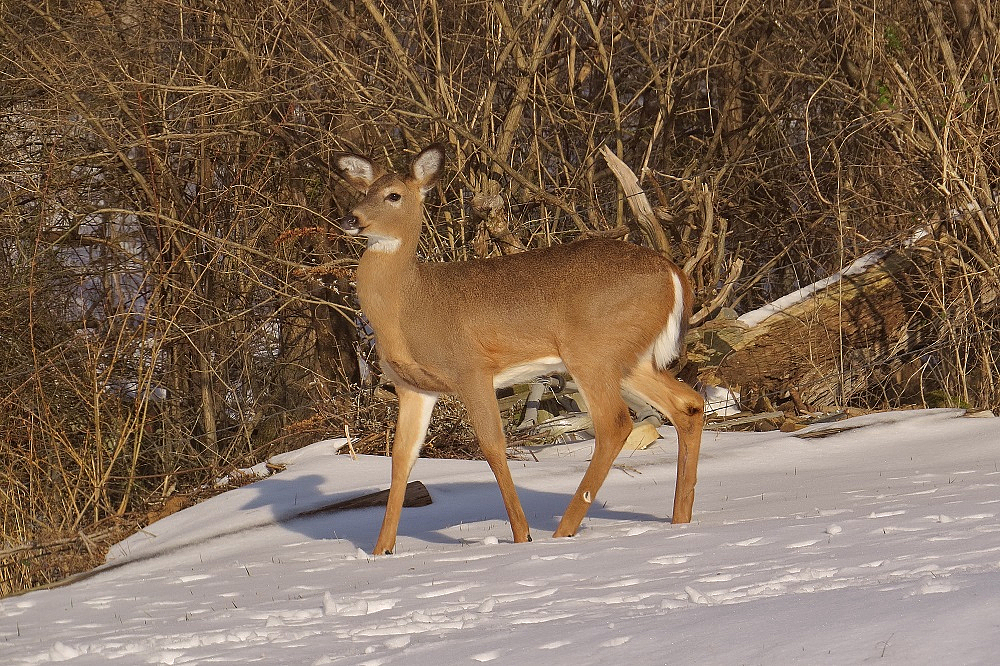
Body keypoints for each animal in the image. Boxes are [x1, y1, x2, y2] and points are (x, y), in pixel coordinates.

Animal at [336, 145, 704, 556]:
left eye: (394, 195)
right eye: (363, 191)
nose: (351, 219)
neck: (410, 304)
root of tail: (674, 274)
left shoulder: (472, 369)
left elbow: (493, 445)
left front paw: (521, 535)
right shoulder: (414, 386)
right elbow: (402, 457)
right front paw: (381, 551)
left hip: (591, 351)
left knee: (615, 423)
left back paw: (563, 532)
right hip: (632, 359)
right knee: (688, 405)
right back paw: (680, 520)